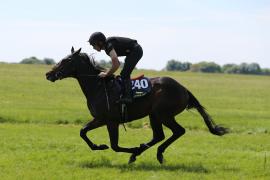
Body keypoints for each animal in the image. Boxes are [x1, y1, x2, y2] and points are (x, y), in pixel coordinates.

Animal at [45, 47, 227, 164]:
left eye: (66, 60)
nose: (48, 74)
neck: (98, 86)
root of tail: (183, 88)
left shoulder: (111, 121)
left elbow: (115, 146)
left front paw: (130, 150)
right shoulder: (100, 119)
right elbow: (83, 131)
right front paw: (99, 146)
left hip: (163, 114)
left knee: (178, 131)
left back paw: (154, 153)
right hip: (154, 115)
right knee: (159, 136)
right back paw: (144, 152)